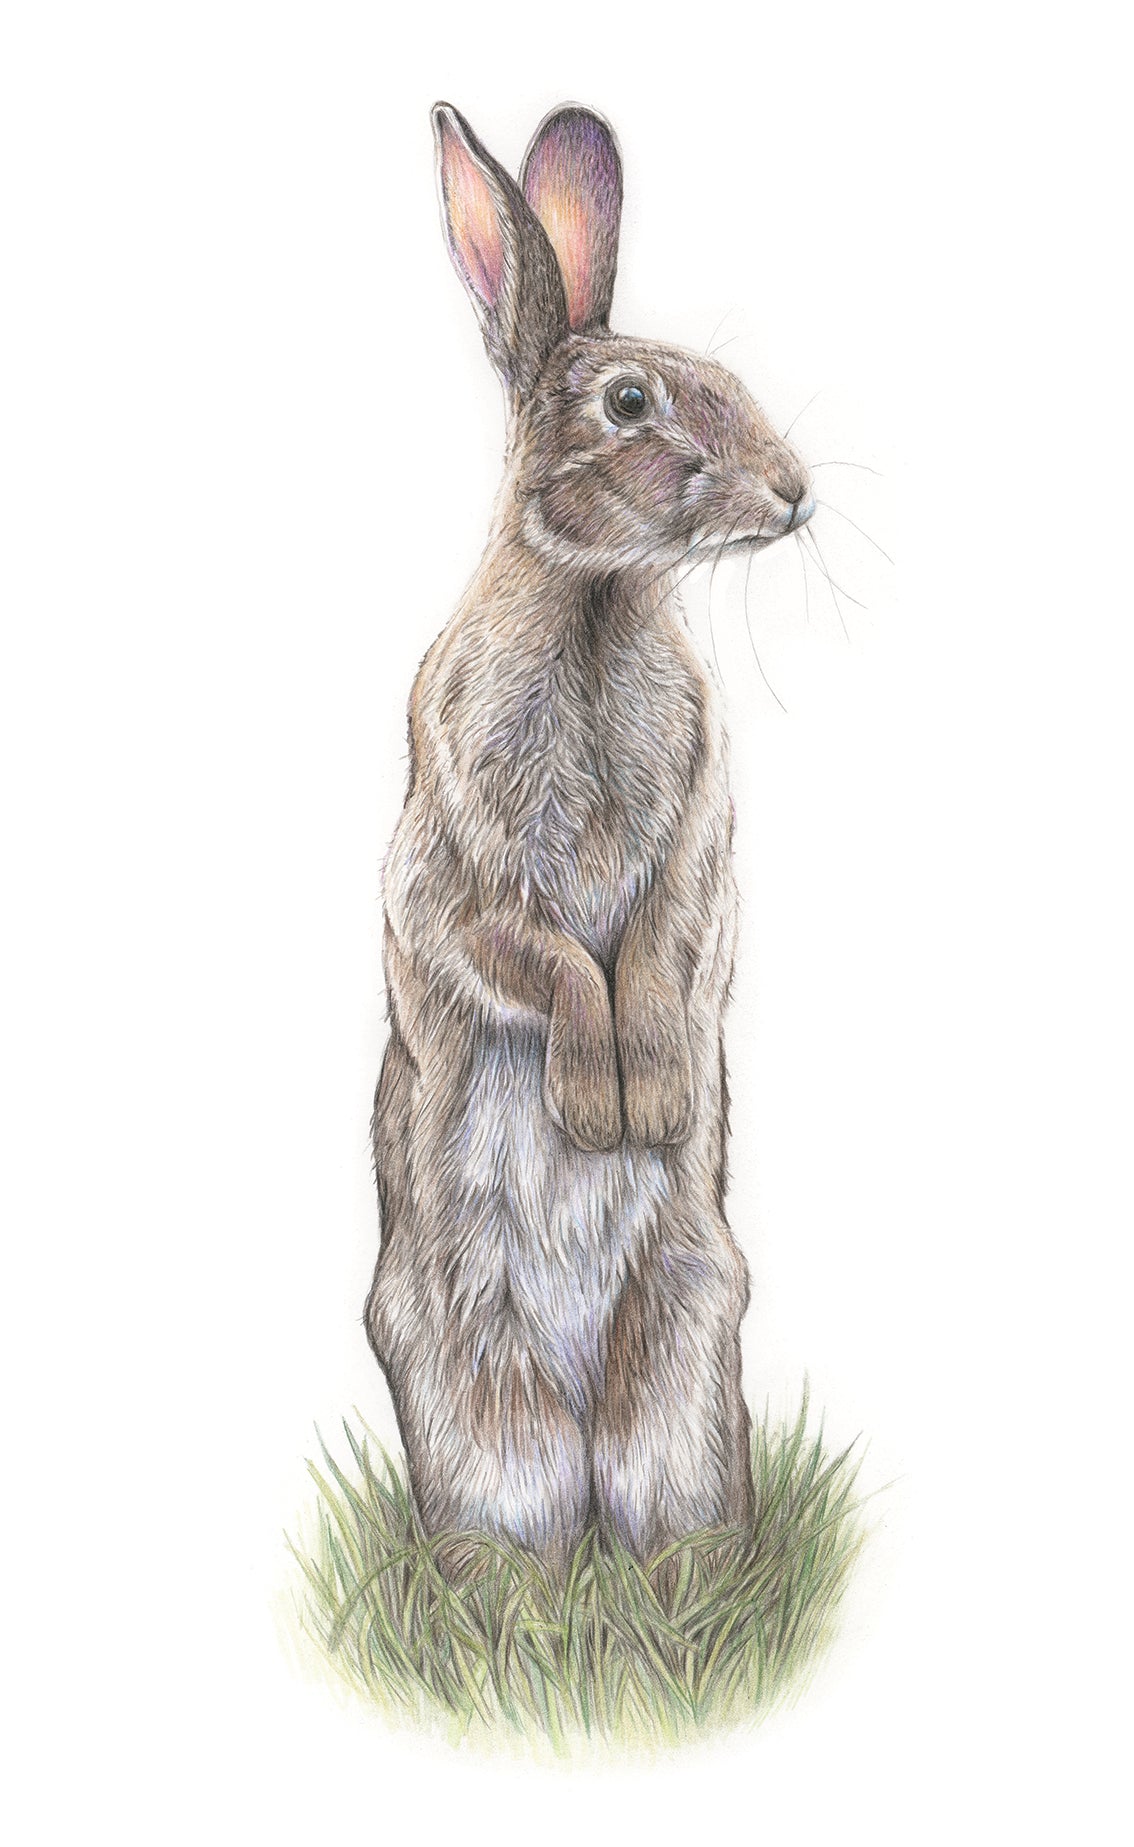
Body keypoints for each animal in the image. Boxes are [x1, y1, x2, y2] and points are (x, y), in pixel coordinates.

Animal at [365, 102, 814, 1576]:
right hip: (472, 1386)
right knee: (515, 1517)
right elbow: (540, 955)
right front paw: (599, 1103)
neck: (597, 598)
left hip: (687, 1339)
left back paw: (684, 1571)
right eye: (630, 403)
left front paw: (652, 1098)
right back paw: (519, 1590)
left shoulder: (699, 840)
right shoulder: (452, 858)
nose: (792, 491)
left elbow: (667, 943)